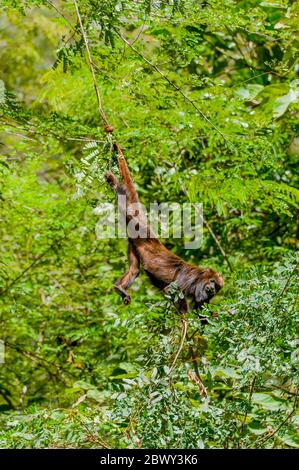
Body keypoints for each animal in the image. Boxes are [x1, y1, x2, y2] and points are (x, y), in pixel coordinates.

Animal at [106, 144, 225, 312]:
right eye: (213, 282)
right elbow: (172, 290)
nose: (213, 290)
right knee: (126, 205)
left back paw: (119, 288)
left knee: (134, 270)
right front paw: (184, 318)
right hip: (139, 227)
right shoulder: (191, 278)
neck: (200, 278)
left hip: (133, 243)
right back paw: (115, 183)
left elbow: (201, 308)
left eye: (217, 288)